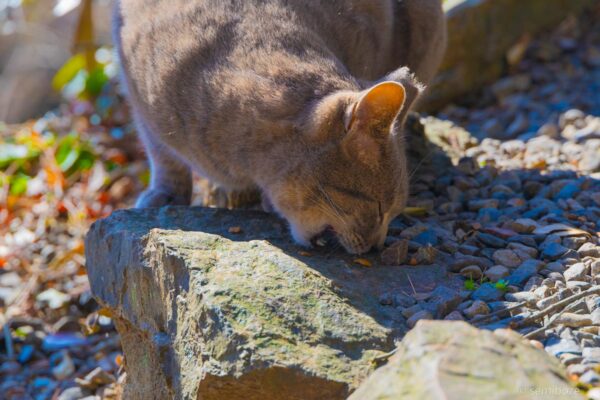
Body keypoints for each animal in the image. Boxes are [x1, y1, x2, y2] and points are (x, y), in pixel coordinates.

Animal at [112, 0, 446, 253]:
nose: (378, 247)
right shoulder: (136, 90)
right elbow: (163, 154)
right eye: (378, 207)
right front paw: (166, 195)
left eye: (394, 211)